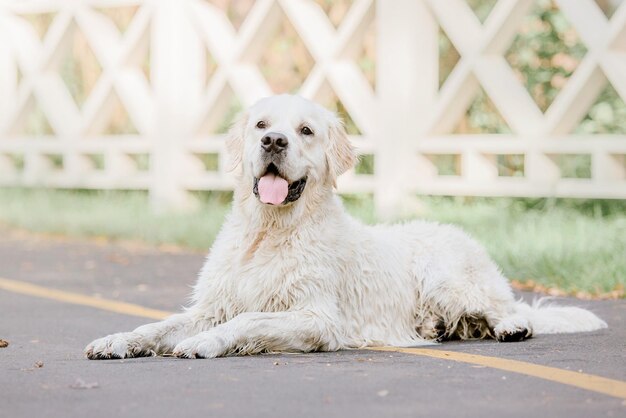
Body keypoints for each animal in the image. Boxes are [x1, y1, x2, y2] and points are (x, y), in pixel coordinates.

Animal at [85, 95, 608, 360]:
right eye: (261, 125)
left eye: (305, 131)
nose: (274, 142)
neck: (269, 232)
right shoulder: (212, 304)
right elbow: (160, 325)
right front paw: (117, 341)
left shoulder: (318, 317)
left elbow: (249, 320)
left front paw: (202, 344)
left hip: (445, 277)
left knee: (509, 309)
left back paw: (511, 328)